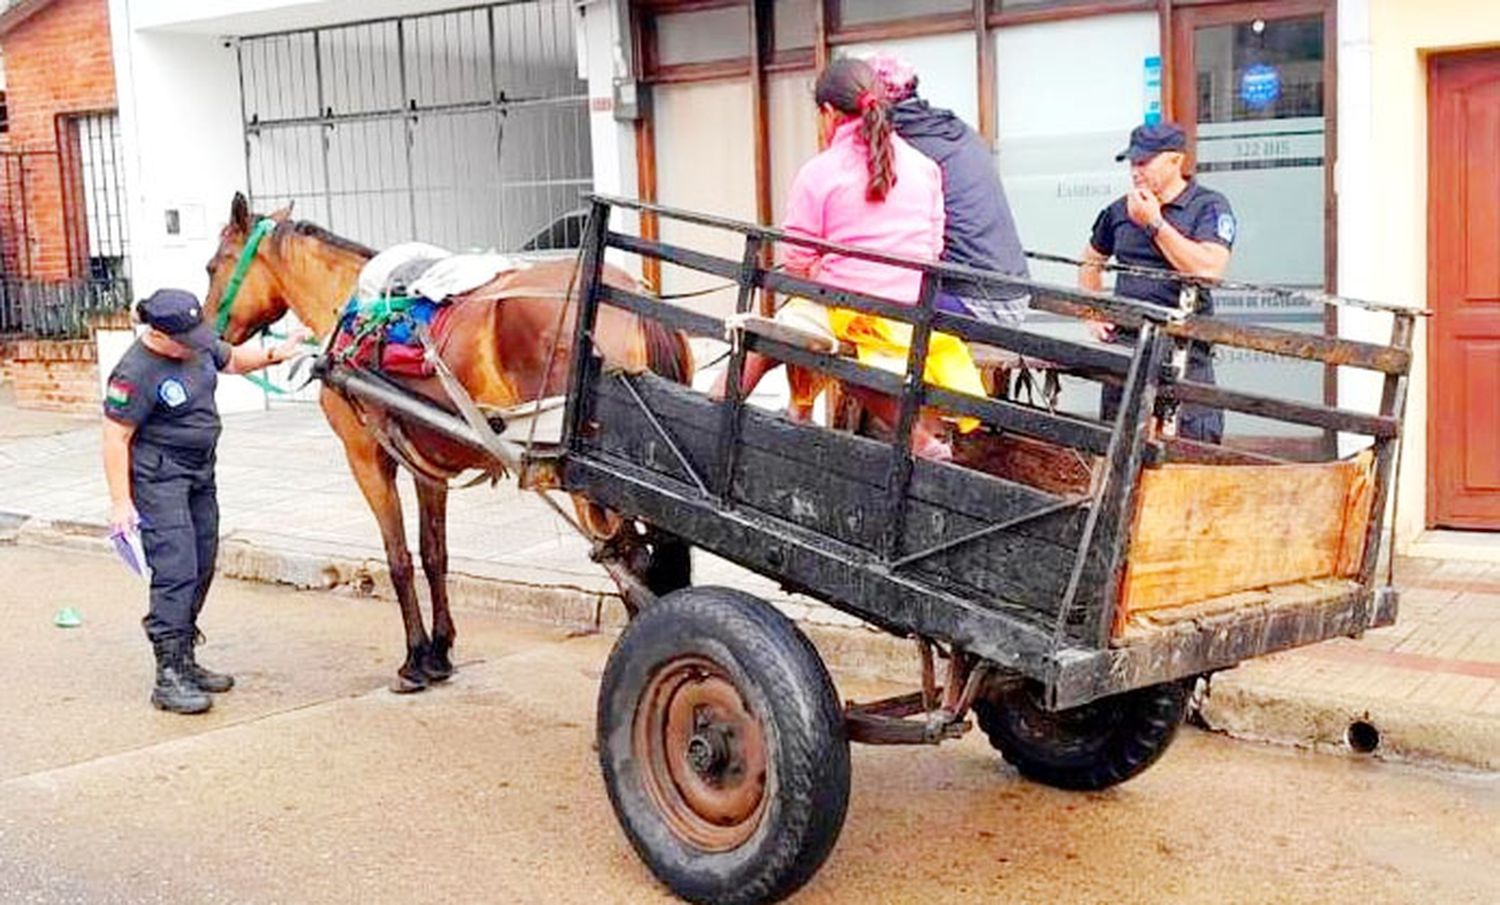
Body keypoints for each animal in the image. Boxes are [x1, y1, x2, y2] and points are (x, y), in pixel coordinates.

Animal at [202, 193, 693, 693]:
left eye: (211, 266)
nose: (209, 336)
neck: (356, 314)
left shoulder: (366, 459)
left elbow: (398, 558)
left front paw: (414, 659)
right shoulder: (426, 464)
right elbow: (433, 553)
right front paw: (438, 652)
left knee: (633, 563)